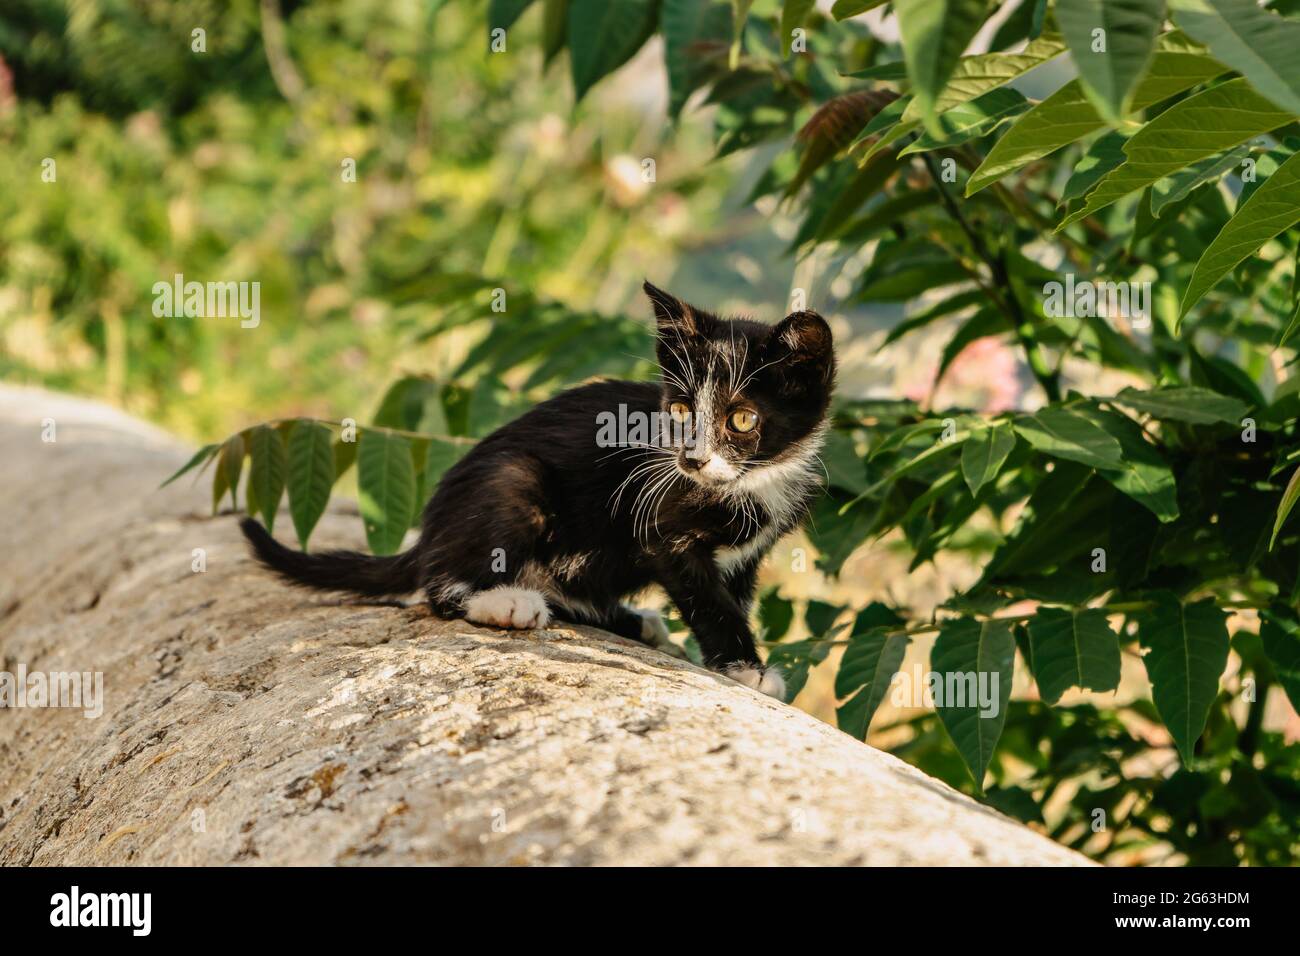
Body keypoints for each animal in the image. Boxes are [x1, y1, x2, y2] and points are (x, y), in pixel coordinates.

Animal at [243, 280, 832, 697]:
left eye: (742, 419)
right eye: (682, 410)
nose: (691, 458)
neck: (752, 481)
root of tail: (432, 529)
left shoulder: (748, 553)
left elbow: (734, 595)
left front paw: (741, 660)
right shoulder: (662, 521)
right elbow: (708, 599)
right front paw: (746, 668)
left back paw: (628, 619)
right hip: (512, 481)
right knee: (440, 582)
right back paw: (503, 603)